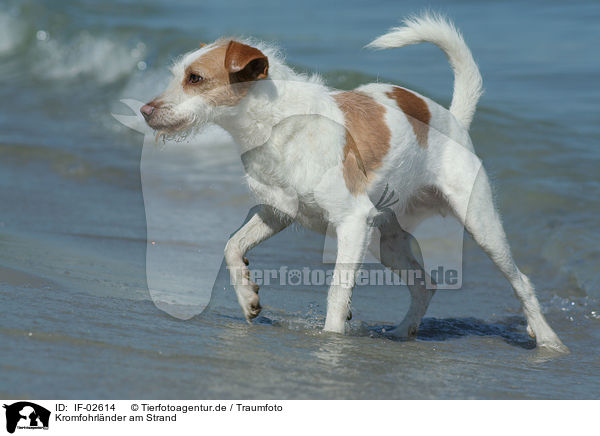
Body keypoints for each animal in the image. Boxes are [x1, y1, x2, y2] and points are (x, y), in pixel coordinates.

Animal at [139, 13, 568, 352]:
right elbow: (232, 246)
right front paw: (247, 297)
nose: (144, 110)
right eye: (176, 76)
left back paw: (548, 340)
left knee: (521, 282)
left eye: (195, 78)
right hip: (387, 241)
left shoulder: (351, 222)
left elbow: (336, 291)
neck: (276, 125)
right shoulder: (278, 212)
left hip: (480, 224)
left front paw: (332, 338)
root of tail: (453, 118)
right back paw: (403, 332)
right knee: (424, 286)